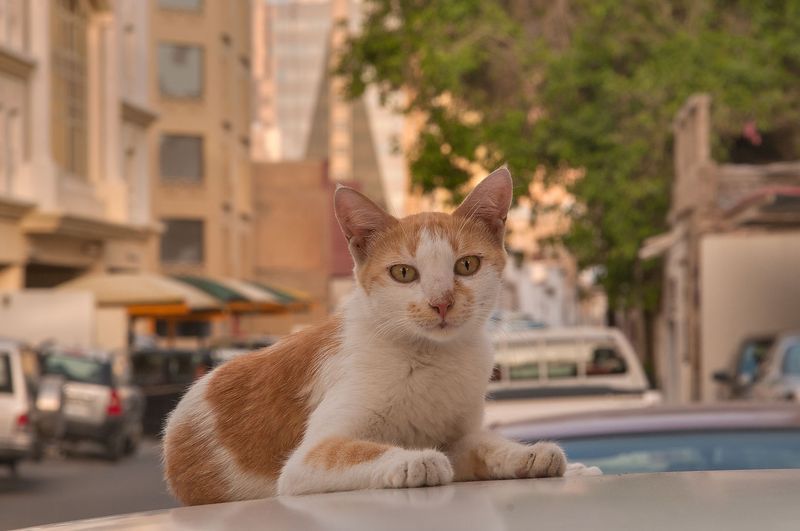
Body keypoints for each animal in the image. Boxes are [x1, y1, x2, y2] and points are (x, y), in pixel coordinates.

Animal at [162, 167, 592, 508]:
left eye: (467, 265)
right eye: (403, 273)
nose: (441, 302)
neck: (432, 358)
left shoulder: (459, 436)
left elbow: (483, 445)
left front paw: (529, 455)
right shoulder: (307, 461)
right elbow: (353, 451)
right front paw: (413, 459)